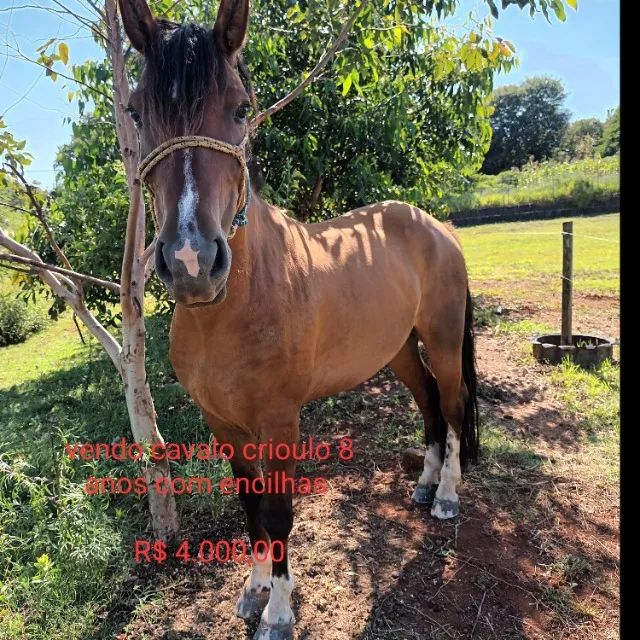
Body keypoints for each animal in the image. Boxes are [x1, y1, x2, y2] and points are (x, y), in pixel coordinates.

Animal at [118, 1, 479, 638]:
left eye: (241, 107)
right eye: (137, 112)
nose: (191, 261)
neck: (234, 309)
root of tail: (436, 225)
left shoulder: (280, 422)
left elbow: (280, 512)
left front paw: (279, 612)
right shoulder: (224, 424)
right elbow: (251, 505)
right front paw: (253, 590)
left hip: (440, 340)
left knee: (454, 407)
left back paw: (447, 497)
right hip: (399, 351)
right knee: (430, 406)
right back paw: (424, 485)